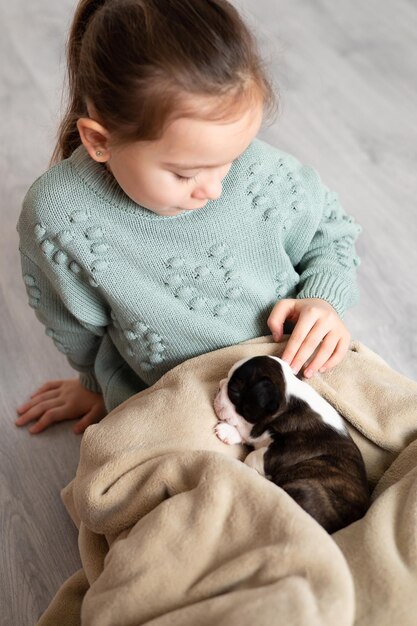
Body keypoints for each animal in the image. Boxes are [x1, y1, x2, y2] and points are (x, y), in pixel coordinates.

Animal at [214, 356, 368, 532]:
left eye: (233, 390)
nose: (219, 384)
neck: (287, 403)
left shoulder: (284, 450)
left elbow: (253, 454)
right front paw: (228, 431)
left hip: (303, 490)